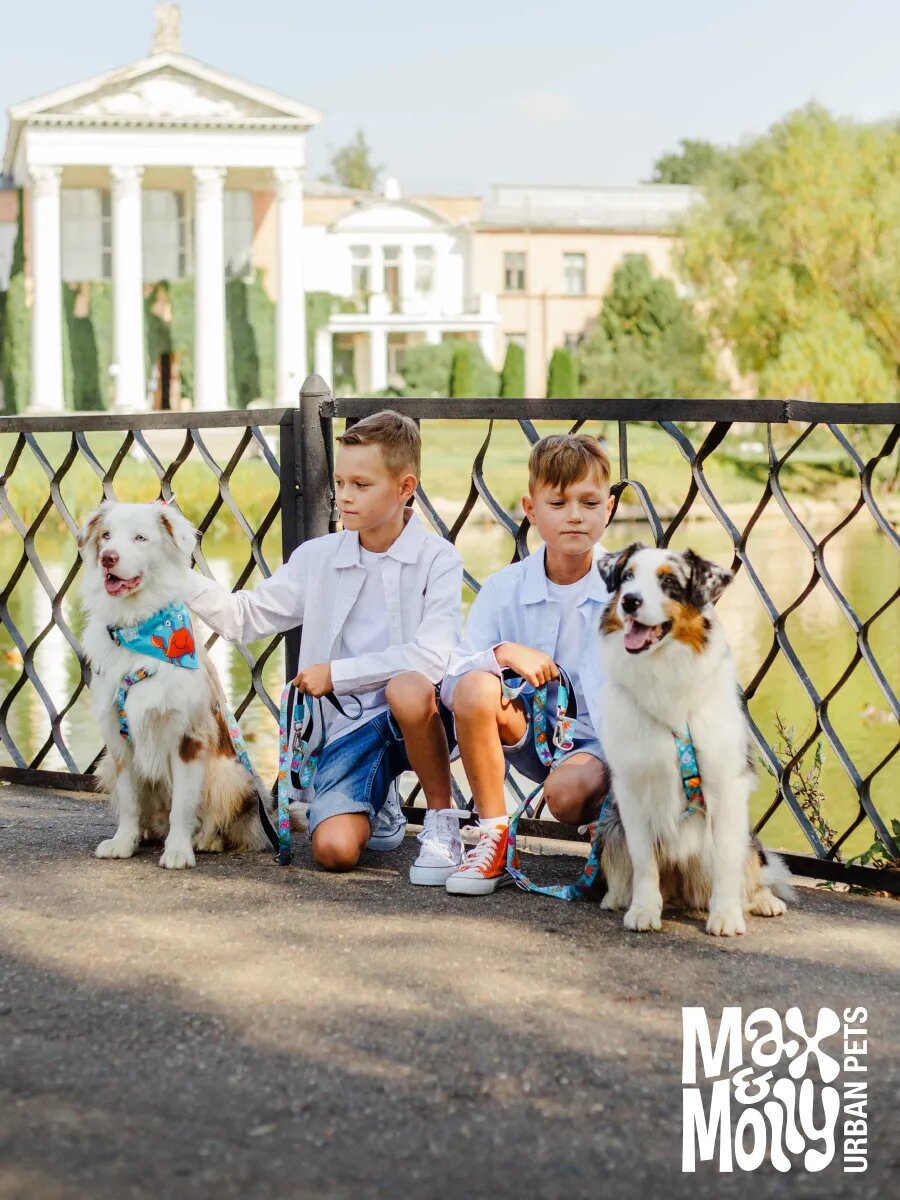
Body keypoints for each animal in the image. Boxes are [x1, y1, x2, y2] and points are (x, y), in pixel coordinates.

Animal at [78, 500, 268, 869]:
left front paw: (179, 851)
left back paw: (206, 840)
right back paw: (146, 834)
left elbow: (182, 804)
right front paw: (123, 842)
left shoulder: (188, 737)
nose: (108, 557)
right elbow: (129, 800)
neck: (136, 629)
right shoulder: (118, 739)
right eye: (106, 535)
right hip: (106, 766)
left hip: (229, 774)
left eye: (140, 538)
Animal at [595, 544, 791, 936]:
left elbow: (727, 862)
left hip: (748, 837)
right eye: (627, 576)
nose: (629, 601)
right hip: (610, 826)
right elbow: (643, 859)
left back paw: (764, 901)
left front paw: (726, 916)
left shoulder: (726, 784)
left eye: (670, 582)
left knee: (752, 869)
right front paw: (643, 910)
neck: (662, 672)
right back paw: (618, 898)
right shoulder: (631, 787)